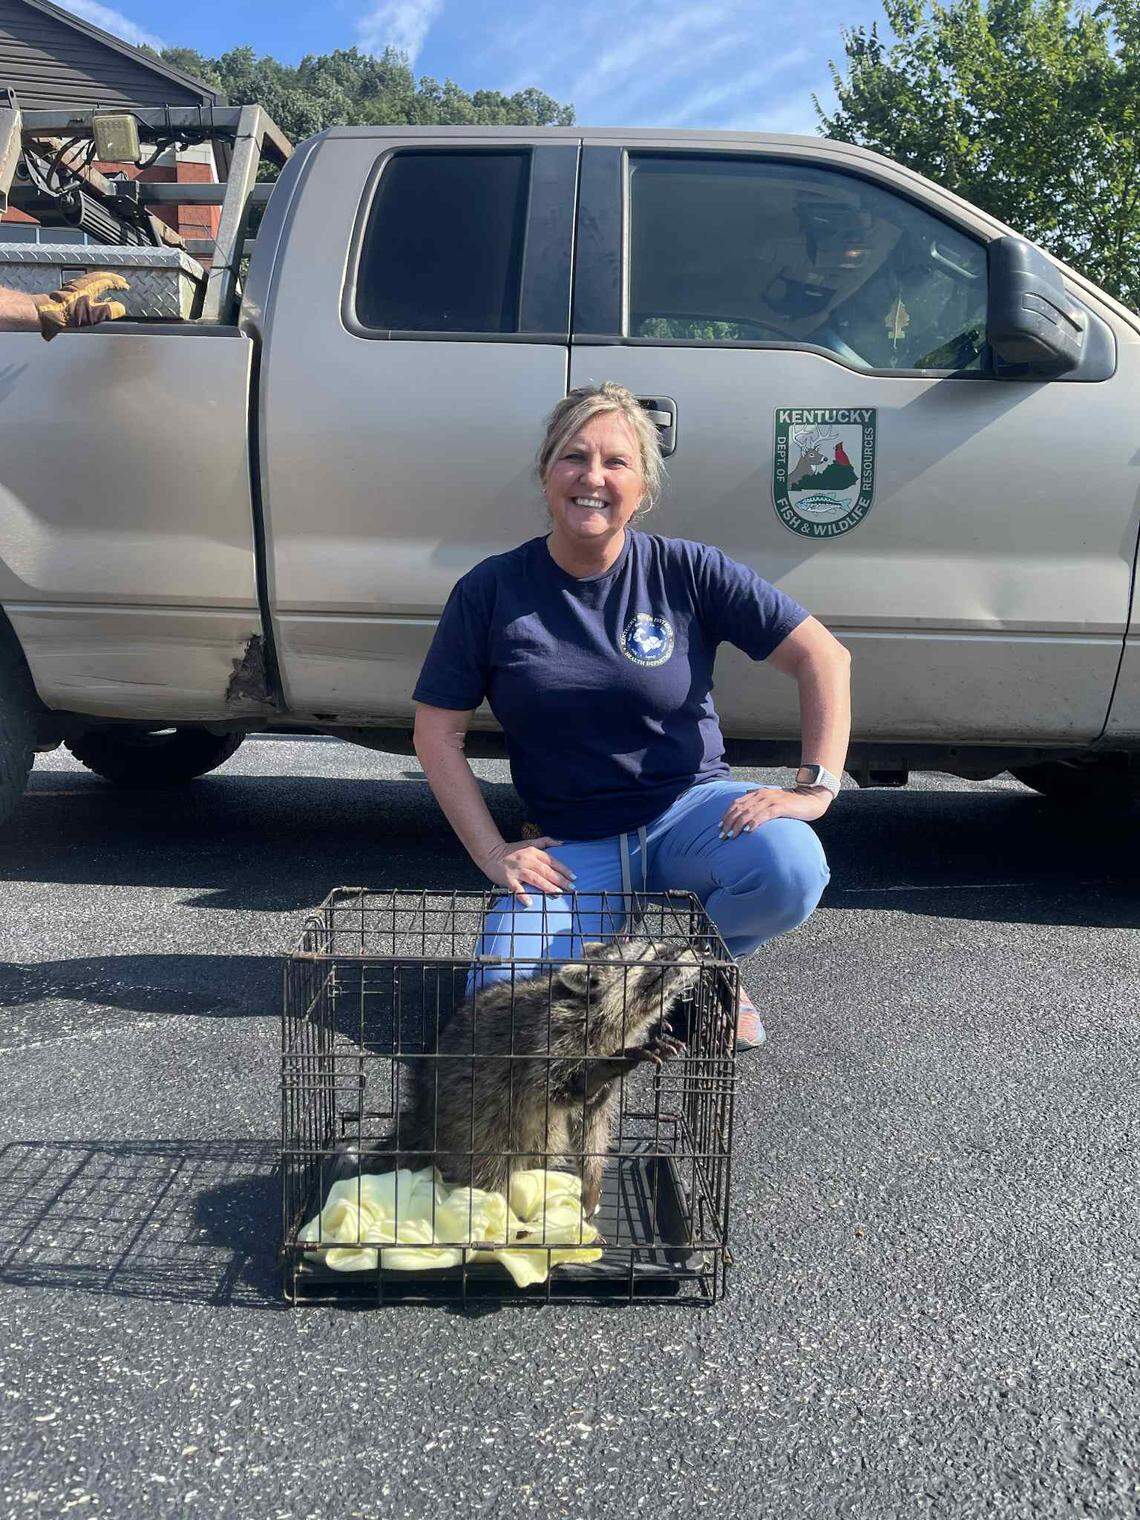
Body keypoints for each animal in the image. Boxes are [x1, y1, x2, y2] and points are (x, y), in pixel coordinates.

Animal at [336, 937, 700, 1219]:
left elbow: (591, 1126)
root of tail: (424, 1119)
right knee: (490, 1162)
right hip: (474, 1120)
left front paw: (590, 1186)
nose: (700, 948)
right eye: (658, 955)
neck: (611, 1018)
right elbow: (552, 1090)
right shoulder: (548, 1040)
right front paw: (601, 1069)